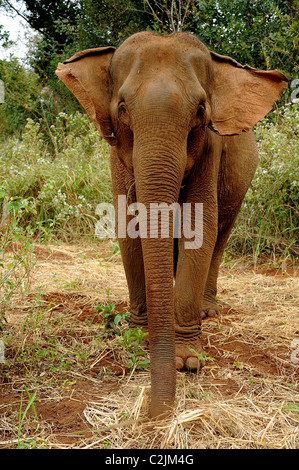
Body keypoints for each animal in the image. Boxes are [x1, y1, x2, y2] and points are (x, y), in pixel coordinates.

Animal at [55, 30, 288, 418]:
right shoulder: (117, 155)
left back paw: (208, 311)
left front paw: (188, 361)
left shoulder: (211, 148)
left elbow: (201, 225)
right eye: (122, 108)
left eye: (200, 112)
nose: (155, 414)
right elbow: (127, 226)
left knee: (221, 236)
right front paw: (138, 340)